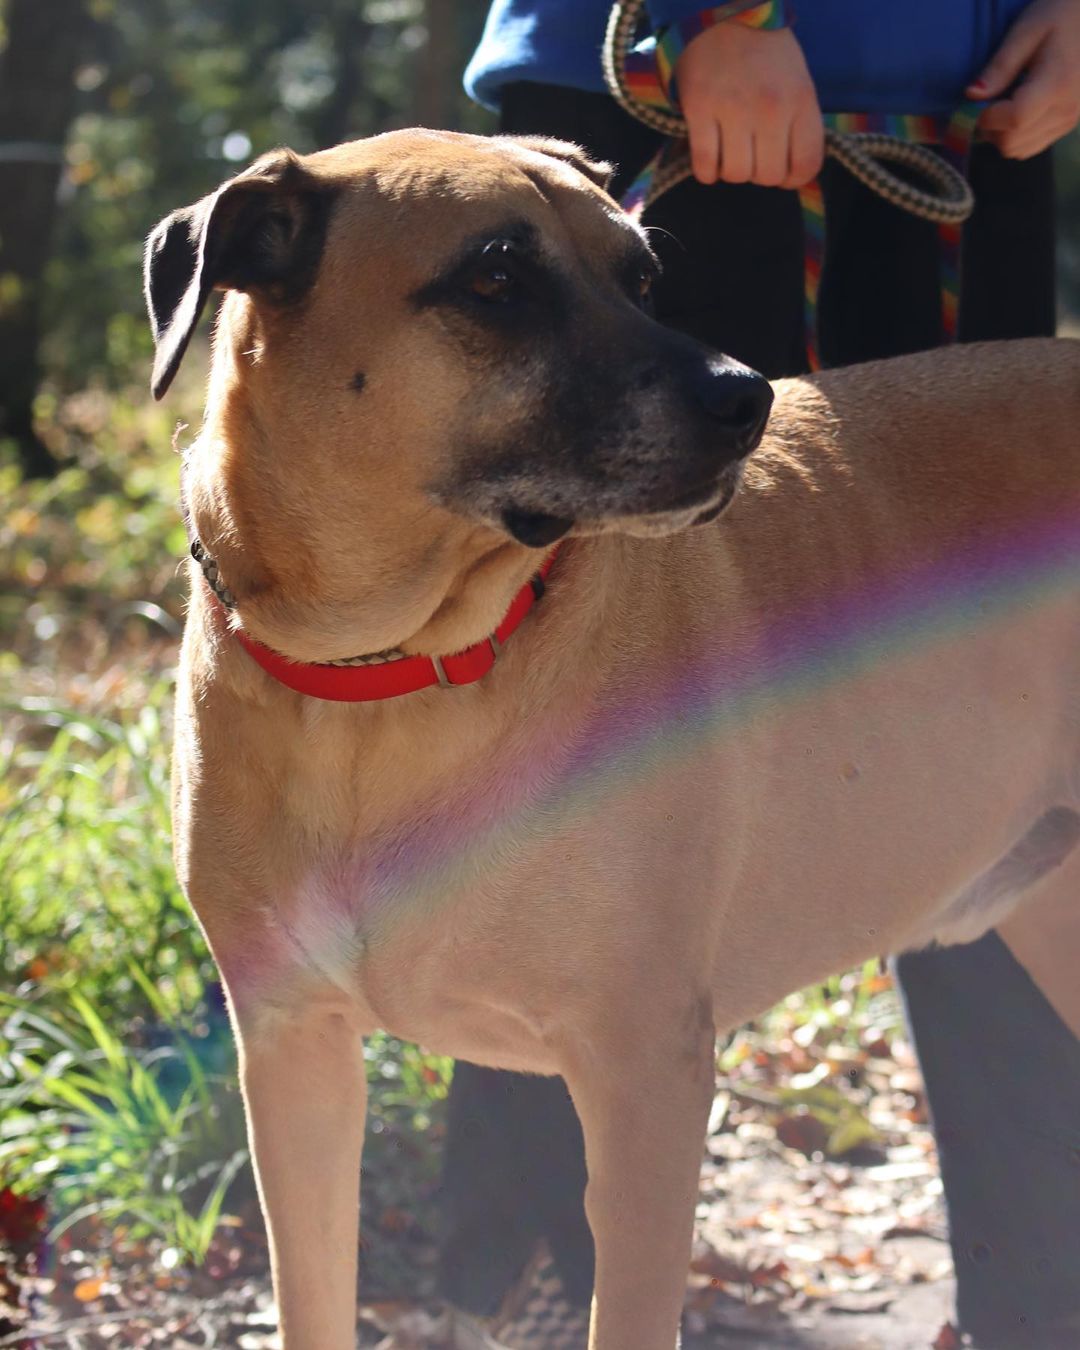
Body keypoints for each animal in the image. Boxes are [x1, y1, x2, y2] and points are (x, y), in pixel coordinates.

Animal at [147, 128, 1080, 1350]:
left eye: (640, 274)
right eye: (496, 278)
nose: (749, 399)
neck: (386, 675)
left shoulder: (643, 1077)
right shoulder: (294, 1053)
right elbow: (314, 1297)